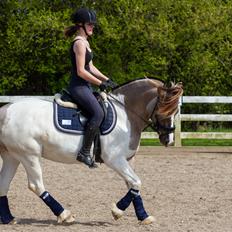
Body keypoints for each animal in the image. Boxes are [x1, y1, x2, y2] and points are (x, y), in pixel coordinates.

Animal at [0, 78, 183, 225]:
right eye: (164, 109)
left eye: (176, 111)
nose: (169, 140)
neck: (126, 115)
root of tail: (6, 110)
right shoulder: (115, 159)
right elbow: (136, 182)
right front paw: (117, 211)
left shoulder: (127, 160)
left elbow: (133, 185)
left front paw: (143, 216)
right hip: (29, 155)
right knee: (36, 185)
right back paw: (65, 215)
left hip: (12, 156)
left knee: (4, 184)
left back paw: (8, 219)